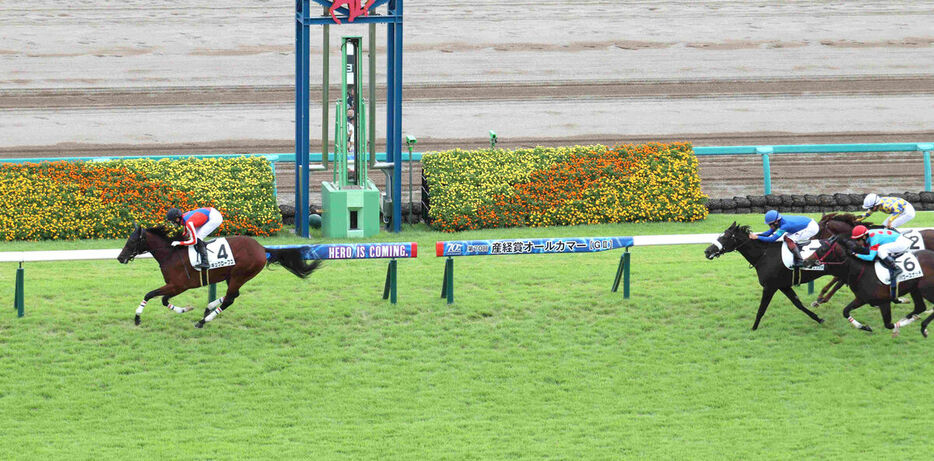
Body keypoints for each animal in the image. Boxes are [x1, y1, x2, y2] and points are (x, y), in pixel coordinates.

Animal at [117, 224, 324, 328]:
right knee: (233, 295)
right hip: (233, 276)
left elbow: (151, 295)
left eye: (132, 241)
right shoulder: (175, 286)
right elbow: (162, 299)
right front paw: (186, 309)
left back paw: (203, 321)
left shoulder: (179, 285)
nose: (120, 257)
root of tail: (262, 248)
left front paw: (137, 317)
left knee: (230, 298)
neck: (171, 254)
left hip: (241, 274)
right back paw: (209, 308)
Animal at [804, 235, 934, 336]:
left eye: (822, 249)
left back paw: (923, 327)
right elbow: (845, 312)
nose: (805, 261)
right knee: (920, 307)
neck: (861, 271)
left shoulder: (884, 301)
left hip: (926, 290)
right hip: (916, 289)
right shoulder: (861, 299)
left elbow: (889, 325)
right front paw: (864, 327)